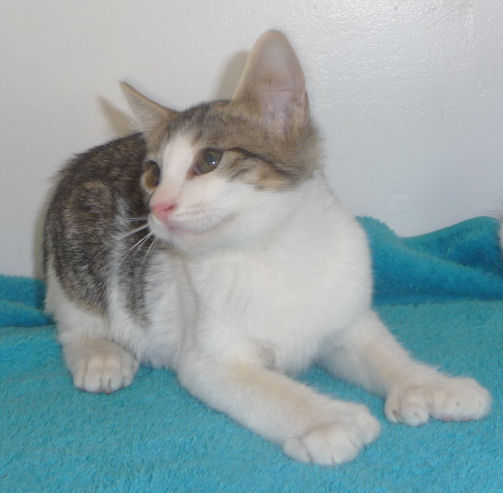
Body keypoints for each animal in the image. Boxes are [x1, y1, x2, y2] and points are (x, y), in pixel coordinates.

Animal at [44, 31, 492, 466]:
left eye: (209, 159)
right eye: (154, 174)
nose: (157, 206)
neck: (271, 251)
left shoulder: (347, 319)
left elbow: (383, 352)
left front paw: (430, 384)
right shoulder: (210, 361)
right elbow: (272, 390)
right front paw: (329, 420)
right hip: (77, 252)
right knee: (72, 322)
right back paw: (99, 354)